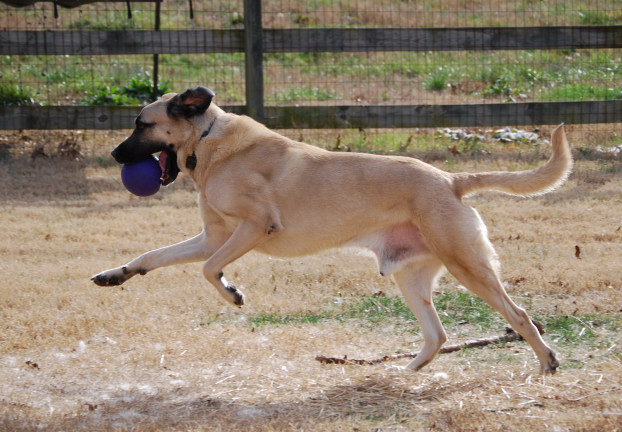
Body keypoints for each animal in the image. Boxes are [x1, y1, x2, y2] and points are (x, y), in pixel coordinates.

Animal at [90, 86, 572, 372]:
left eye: (142, 124)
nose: (114, 155)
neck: (210, 142)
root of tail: (451, 180)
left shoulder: (252, 228)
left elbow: (208, 269)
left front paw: (232, 292)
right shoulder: (213, 237)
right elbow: (153, 257)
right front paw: (116, 274)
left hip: (467, 266)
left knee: (520, 316)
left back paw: (547, 361)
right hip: (410, 277)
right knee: (438, 335)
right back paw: (406, 371)